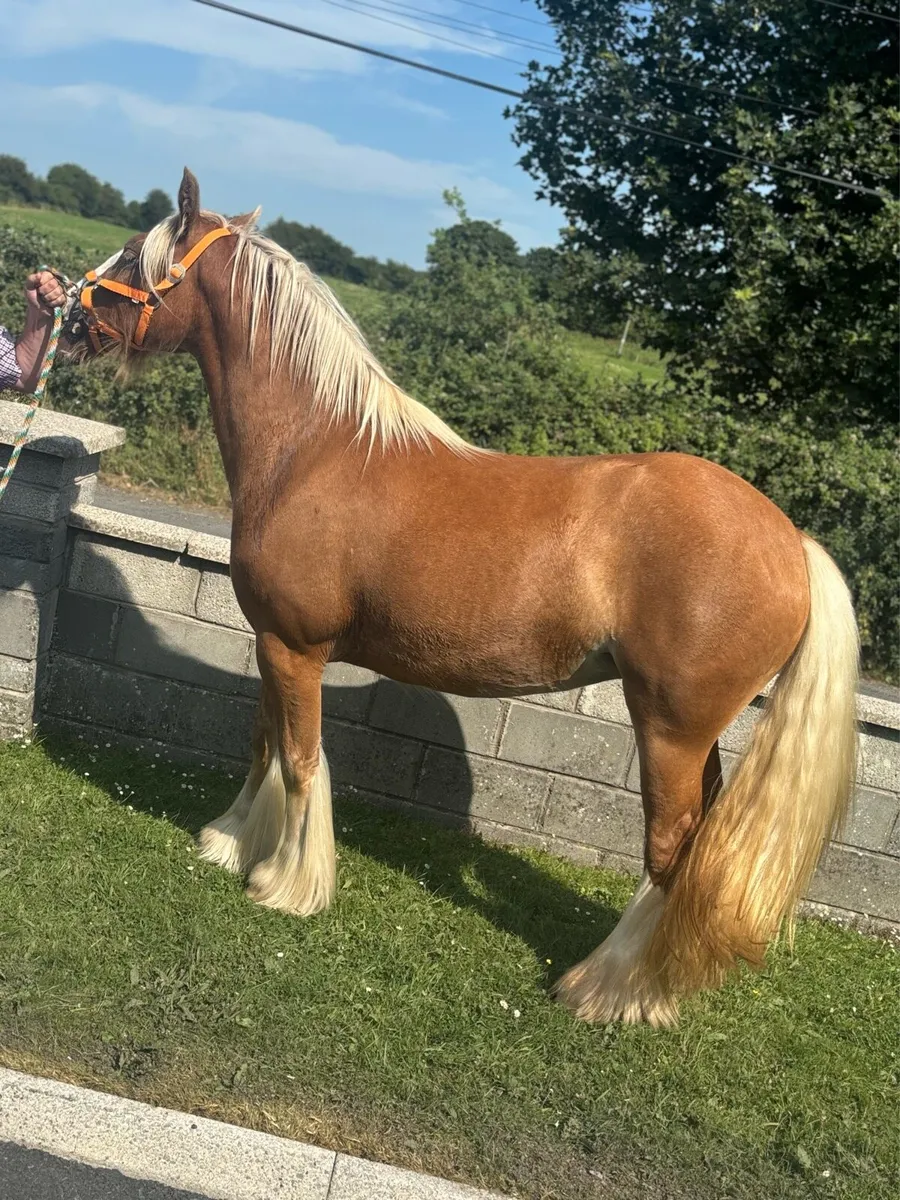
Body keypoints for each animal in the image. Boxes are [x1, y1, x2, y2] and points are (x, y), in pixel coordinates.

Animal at [59, 169, 859, 1027]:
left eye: (134, 257)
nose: (68, 317)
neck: (315, 447)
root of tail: (793, 543)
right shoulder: (274, 642)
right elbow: (265, 744)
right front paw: (233, 841)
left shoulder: (295, 647)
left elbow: (303, 761)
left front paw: (285, 884)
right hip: (695, 732)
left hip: (671, 729)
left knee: (670, 847)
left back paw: (608, 990)